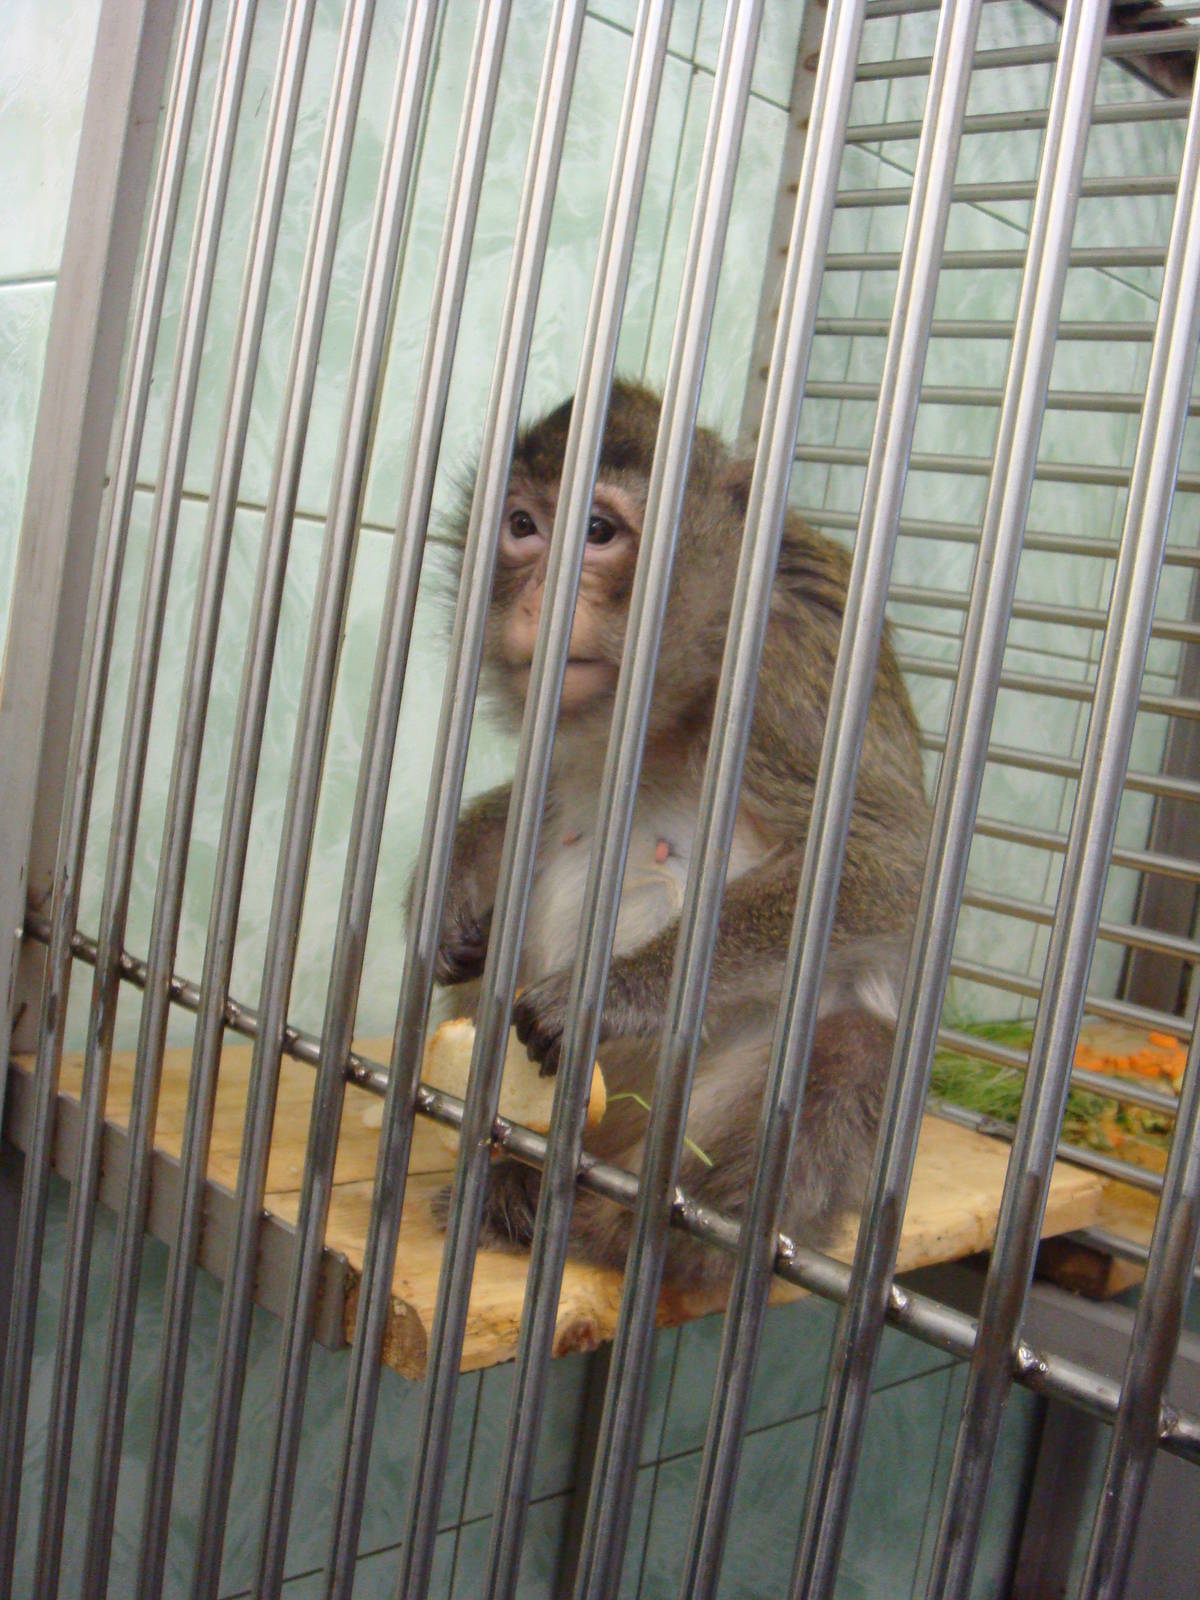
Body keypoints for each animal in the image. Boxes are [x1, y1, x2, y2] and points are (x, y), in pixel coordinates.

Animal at [427, 380, 931, 1288]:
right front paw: (450, 890)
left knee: (848, 1049)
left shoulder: (795, 658)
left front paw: (610, 995)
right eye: (523, 525)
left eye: (598, 532)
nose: (542, 599)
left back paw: (612, 1234)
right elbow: (533, 807)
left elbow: (890, 861)